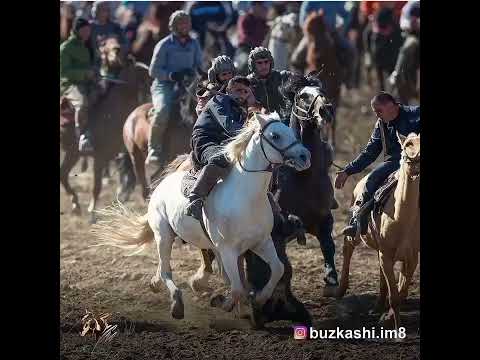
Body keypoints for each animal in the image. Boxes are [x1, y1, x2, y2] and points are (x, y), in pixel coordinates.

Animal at [59, 36, 150, 222]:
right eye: (143, 72)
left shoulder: (113, 154)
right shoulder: (100, 157)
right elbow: (97, 186)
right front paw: (93, 213)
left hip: (72, 154)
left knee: (63, 175)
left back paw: (76, 205)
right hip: (74, 153)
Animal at [93, 112, 312, 318]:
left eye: (291, 132)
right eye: (275, 135)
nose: (305, 156)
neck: (246, 196)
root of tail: (161, 185)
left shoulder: (262, 242)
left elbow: (277, 269)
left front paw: (258, 299)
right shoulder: (228, 250)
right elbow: (237, 288)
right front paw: (225, 303)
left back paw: (157, 284)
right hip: (164, 235)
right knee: (166, 270)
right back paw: (177, 303)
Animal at [338, 134, 420, 330]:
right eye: (407, 144)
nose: (414, 161)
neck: (402, 218)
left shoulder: (411, 258)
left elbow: (401, 291)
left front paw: (388, 318)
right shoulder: (387, 255)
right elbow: (395, 297)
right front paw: (393, 324)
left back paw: (378, 306)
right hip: (357, 235)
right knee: (347, 248)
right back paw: (340, 289)